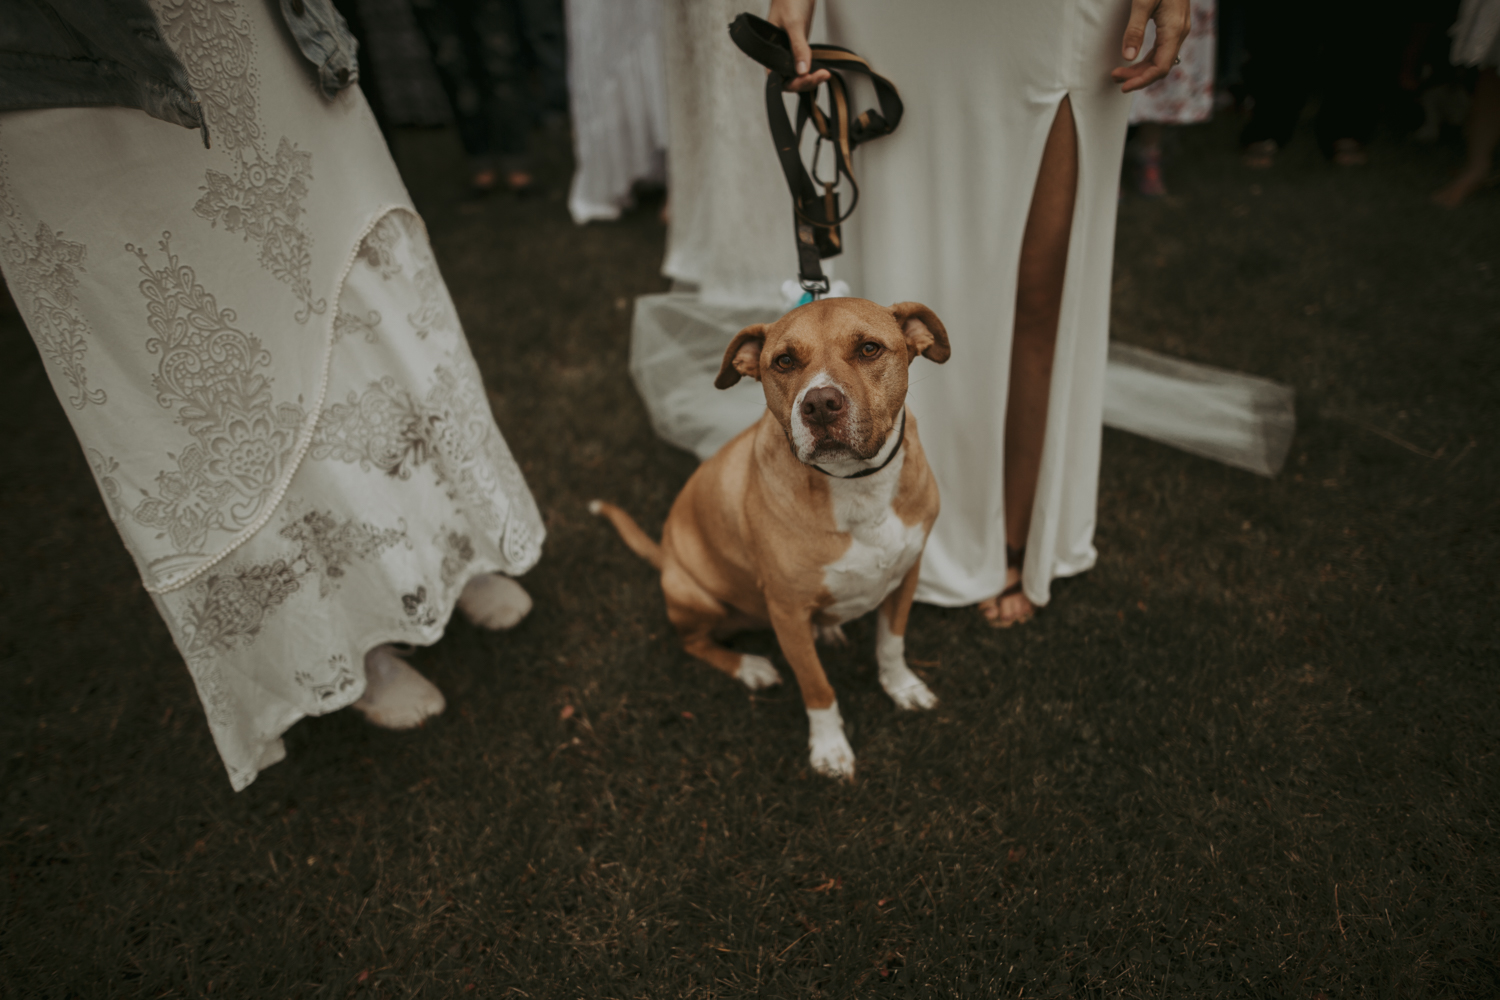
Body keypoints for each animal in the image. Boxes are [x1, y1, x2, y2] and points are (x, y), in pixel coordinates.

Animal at [588, 296, 948, 779]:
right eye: (784, 361)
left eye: (869, 349)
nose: (820, 404)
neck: (856, 488)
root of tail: (664, 556)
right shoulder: (787, 612)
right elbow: (816, 686)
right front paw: (829, 747)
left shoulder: (906, 574)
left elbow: (891, 643)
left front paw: (902, 687)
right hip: (692, 594)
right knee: (693, 641)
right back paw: (750, 667)